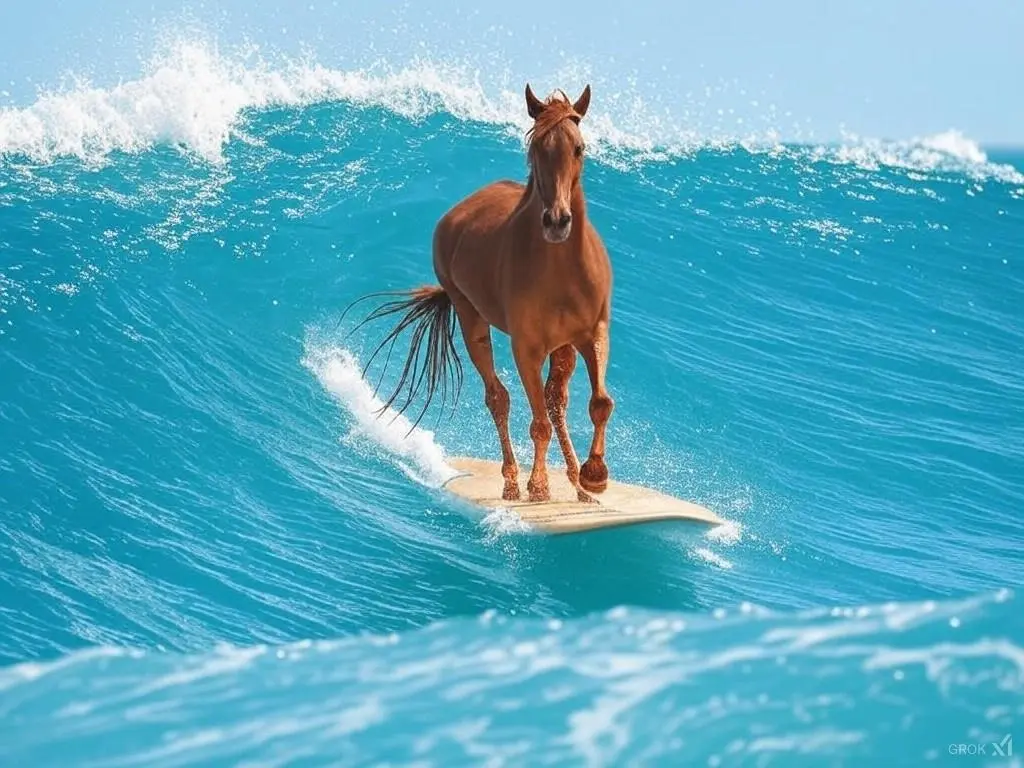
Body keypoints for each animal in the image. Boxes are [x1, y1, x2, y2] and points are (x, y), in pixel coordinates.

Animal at [344, 83, 614, 507]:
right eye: (536, 149)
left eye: (579, 148)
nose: (556, 221)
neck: (562, 271)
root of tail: (458, 212)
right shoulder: (526, 348)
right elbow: (537, 422)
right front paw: (539, 488)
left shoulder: (593, 334)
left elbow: (599, 403)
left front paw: (594, 476)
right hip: (471, 318)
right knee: (499, 399)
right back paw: (513, 483)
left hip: (563, 347)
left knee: (556, 402)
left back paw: (576, 484)